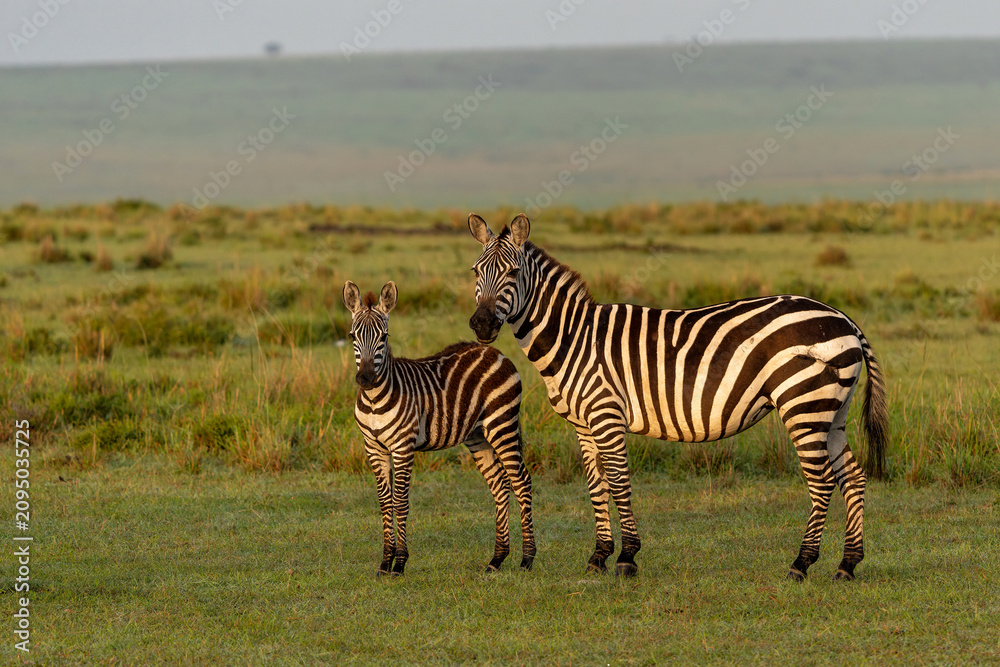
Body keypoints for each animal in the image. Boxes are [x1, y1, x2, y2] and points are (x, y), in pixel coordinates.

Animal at [344, 279, 535, 576]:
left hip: (502, 423)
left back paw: (527, 558)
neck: (375, 400)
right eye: (353, 337)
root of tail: (493, 351)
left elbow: (400, 501)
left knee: (521, 480)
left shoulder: (403, 446)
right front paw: (385, 562)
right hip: (477, 435)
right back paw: (497, 559)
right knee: (499, 484)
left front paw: (400, 563)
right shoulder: (373, 448)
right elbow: (385, 502)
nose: (365, 379)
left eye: (384, 337)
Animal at [466, 213, 888, 581]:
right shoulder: (583, 425)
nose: (481, 324)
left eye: (512, 273)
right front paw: (599, 556)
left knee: (822, 482)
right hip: (832, 413)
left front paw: (626, 557)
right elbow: (596, 485)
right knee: (853, 476)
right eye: (475, 271)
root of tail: (843, 319)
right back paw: (848, 564)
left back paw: (801, 563)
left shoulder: (607, 415)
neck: (573, 338)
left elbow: (618, 481)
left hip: (804, 407)